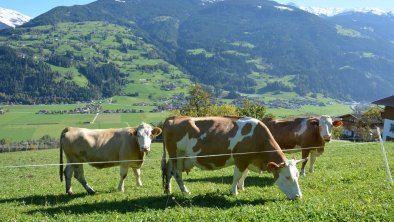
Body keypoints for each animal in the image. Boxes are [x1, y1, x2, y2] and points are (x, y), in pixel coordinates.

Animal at [162, 115, 306, 200]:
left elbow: (244, 175)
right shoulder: (241, 159)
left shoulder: (248, 160)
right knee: (176, 173)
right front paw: (234, 191)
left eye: (297, 175)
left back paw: (168, 190)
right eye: (287, 177)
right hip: (176, 154)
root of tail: (173, 117)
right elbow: (237, 175)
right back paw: (185, 191)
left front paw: (241, 188)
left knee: (168, 171)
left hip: (178, 157)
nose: (299, 196)